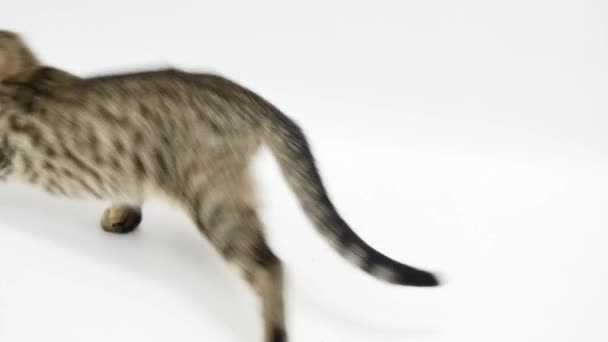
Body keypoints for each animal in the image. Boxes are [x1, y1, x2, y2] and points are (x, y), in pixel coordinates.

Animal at [0, 30, 440, 342]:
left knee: (270, 266)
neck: (23, 72)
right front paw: (122, 214)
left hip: (214, 201)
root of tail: (246, 96)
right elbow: (128, 190)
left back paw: (273, 333)